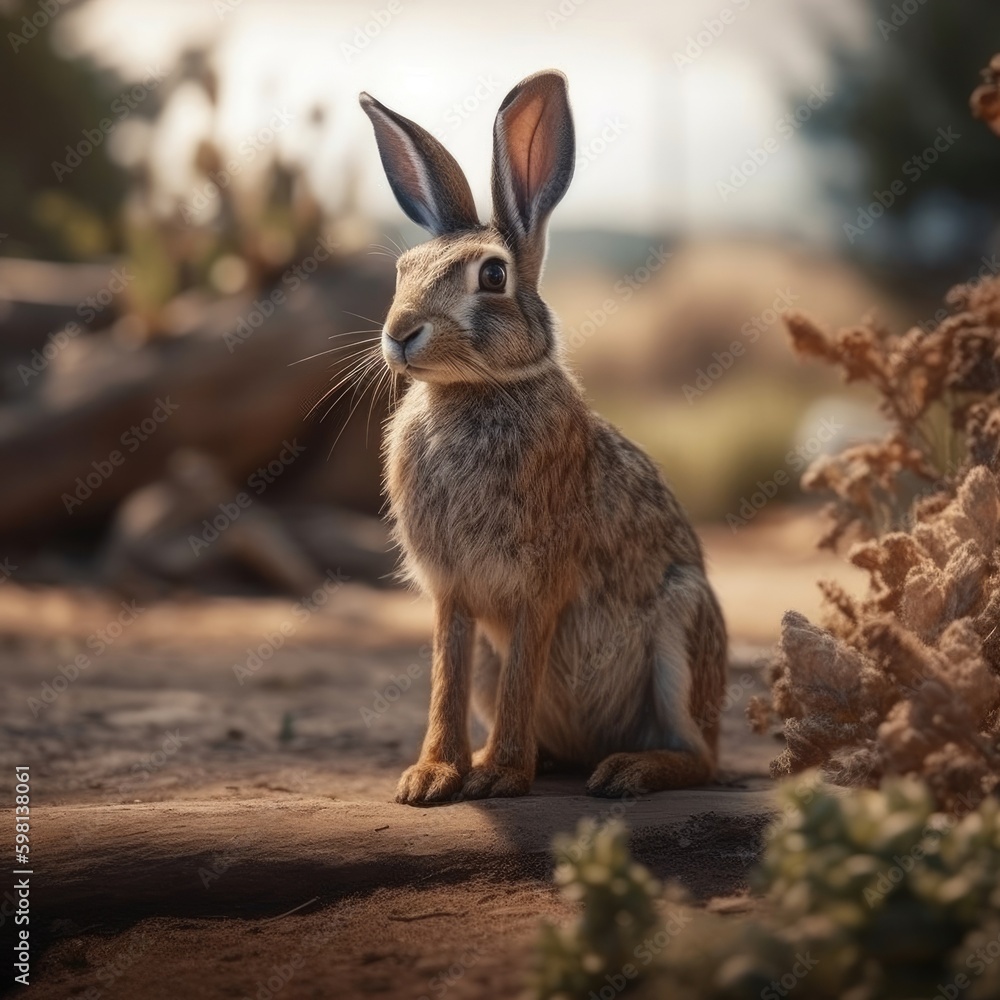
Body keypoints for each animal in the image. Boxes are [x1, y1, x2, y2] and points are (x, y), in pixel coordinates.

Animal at [359, 69, 727, 806]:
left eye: (493, 276)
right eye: (404, 268)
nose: (400, 332)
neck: (471, 391)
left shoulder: (540, 584)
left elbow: (522, 673)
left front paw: (500, 776)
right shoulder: (452, 594)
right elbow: (444, 678)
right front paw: (430, 777)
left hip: (682, 629)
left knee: (701, 758)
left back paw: (626, 770)